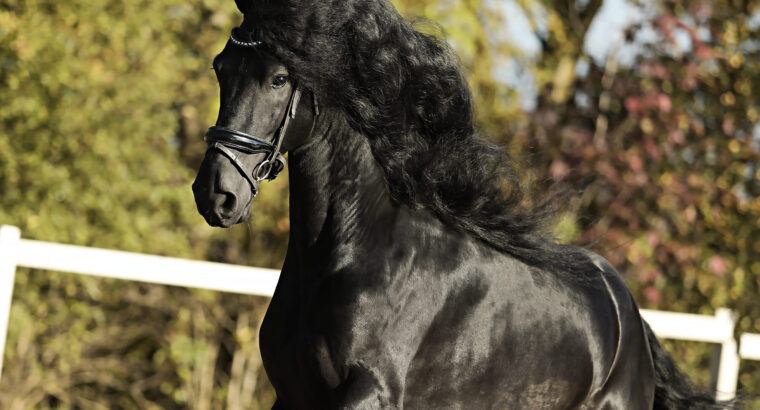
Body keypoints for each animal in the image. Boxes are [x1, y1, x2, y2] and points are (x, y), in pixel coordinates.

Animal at [193, 1, 728, 408]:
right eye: (221, 68)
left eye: (280, 79)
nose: (216, 194)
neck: (352, 254)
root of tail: (628, 313)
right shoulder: (293, 395)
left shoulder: (370, 393)